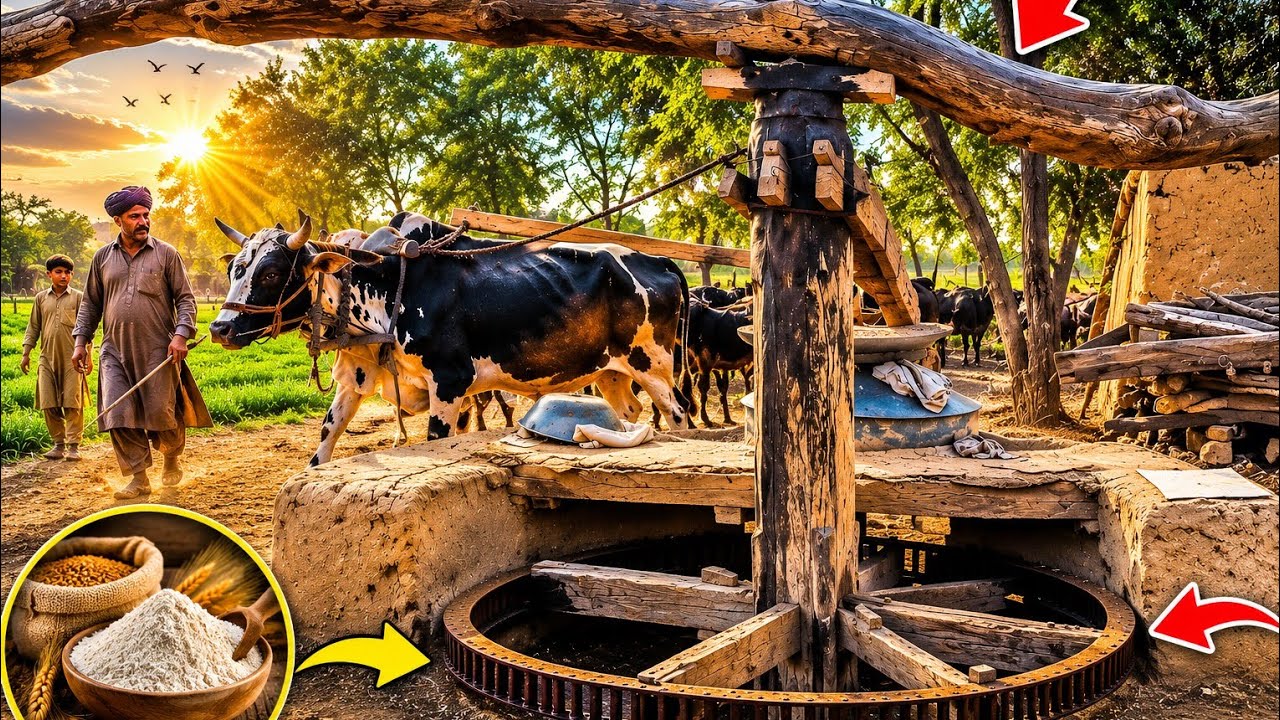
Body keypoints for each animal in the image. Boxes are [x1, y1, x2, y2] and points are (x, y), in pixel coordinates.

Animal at [209, 212, 691, 466]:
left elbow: (436, 438)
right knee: (631, 413)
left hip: (655, 366)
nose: (220, 328)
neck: (387, 284)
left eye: (271, 272)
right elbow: (324, 441)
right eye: (235, 268)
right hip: (611, 371)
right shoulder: (355, 380)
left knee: (679, 413)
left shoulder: (449, 382)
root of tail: (658, 260)